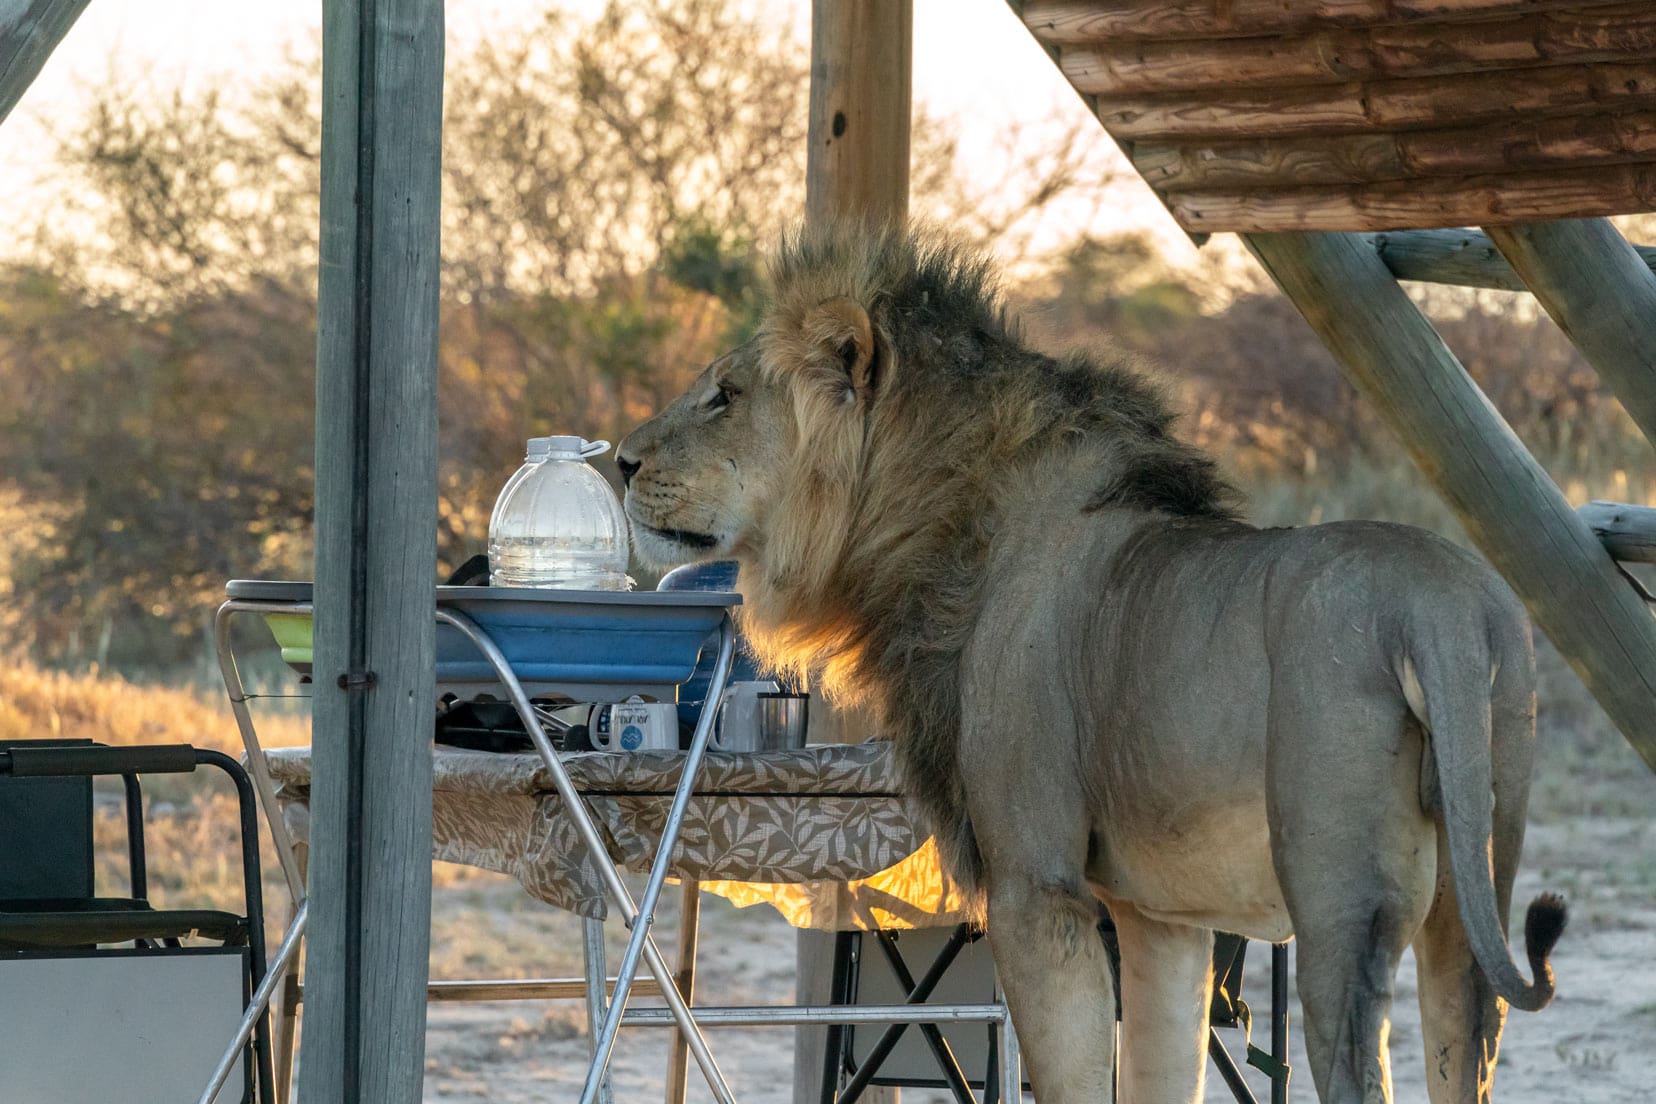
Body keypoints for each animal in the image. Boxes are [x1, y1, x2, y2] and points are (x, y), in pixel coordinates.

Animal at [616, 228, 1556, 1104]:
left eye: (725, 396)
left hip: (1337, 910)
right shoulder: (1161, 918)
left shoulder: (1039, 887)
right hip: (1468, 908)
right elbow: (1161, 1075)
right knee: (1467, 1035)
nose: (621, 461)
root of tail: (1444, 606)